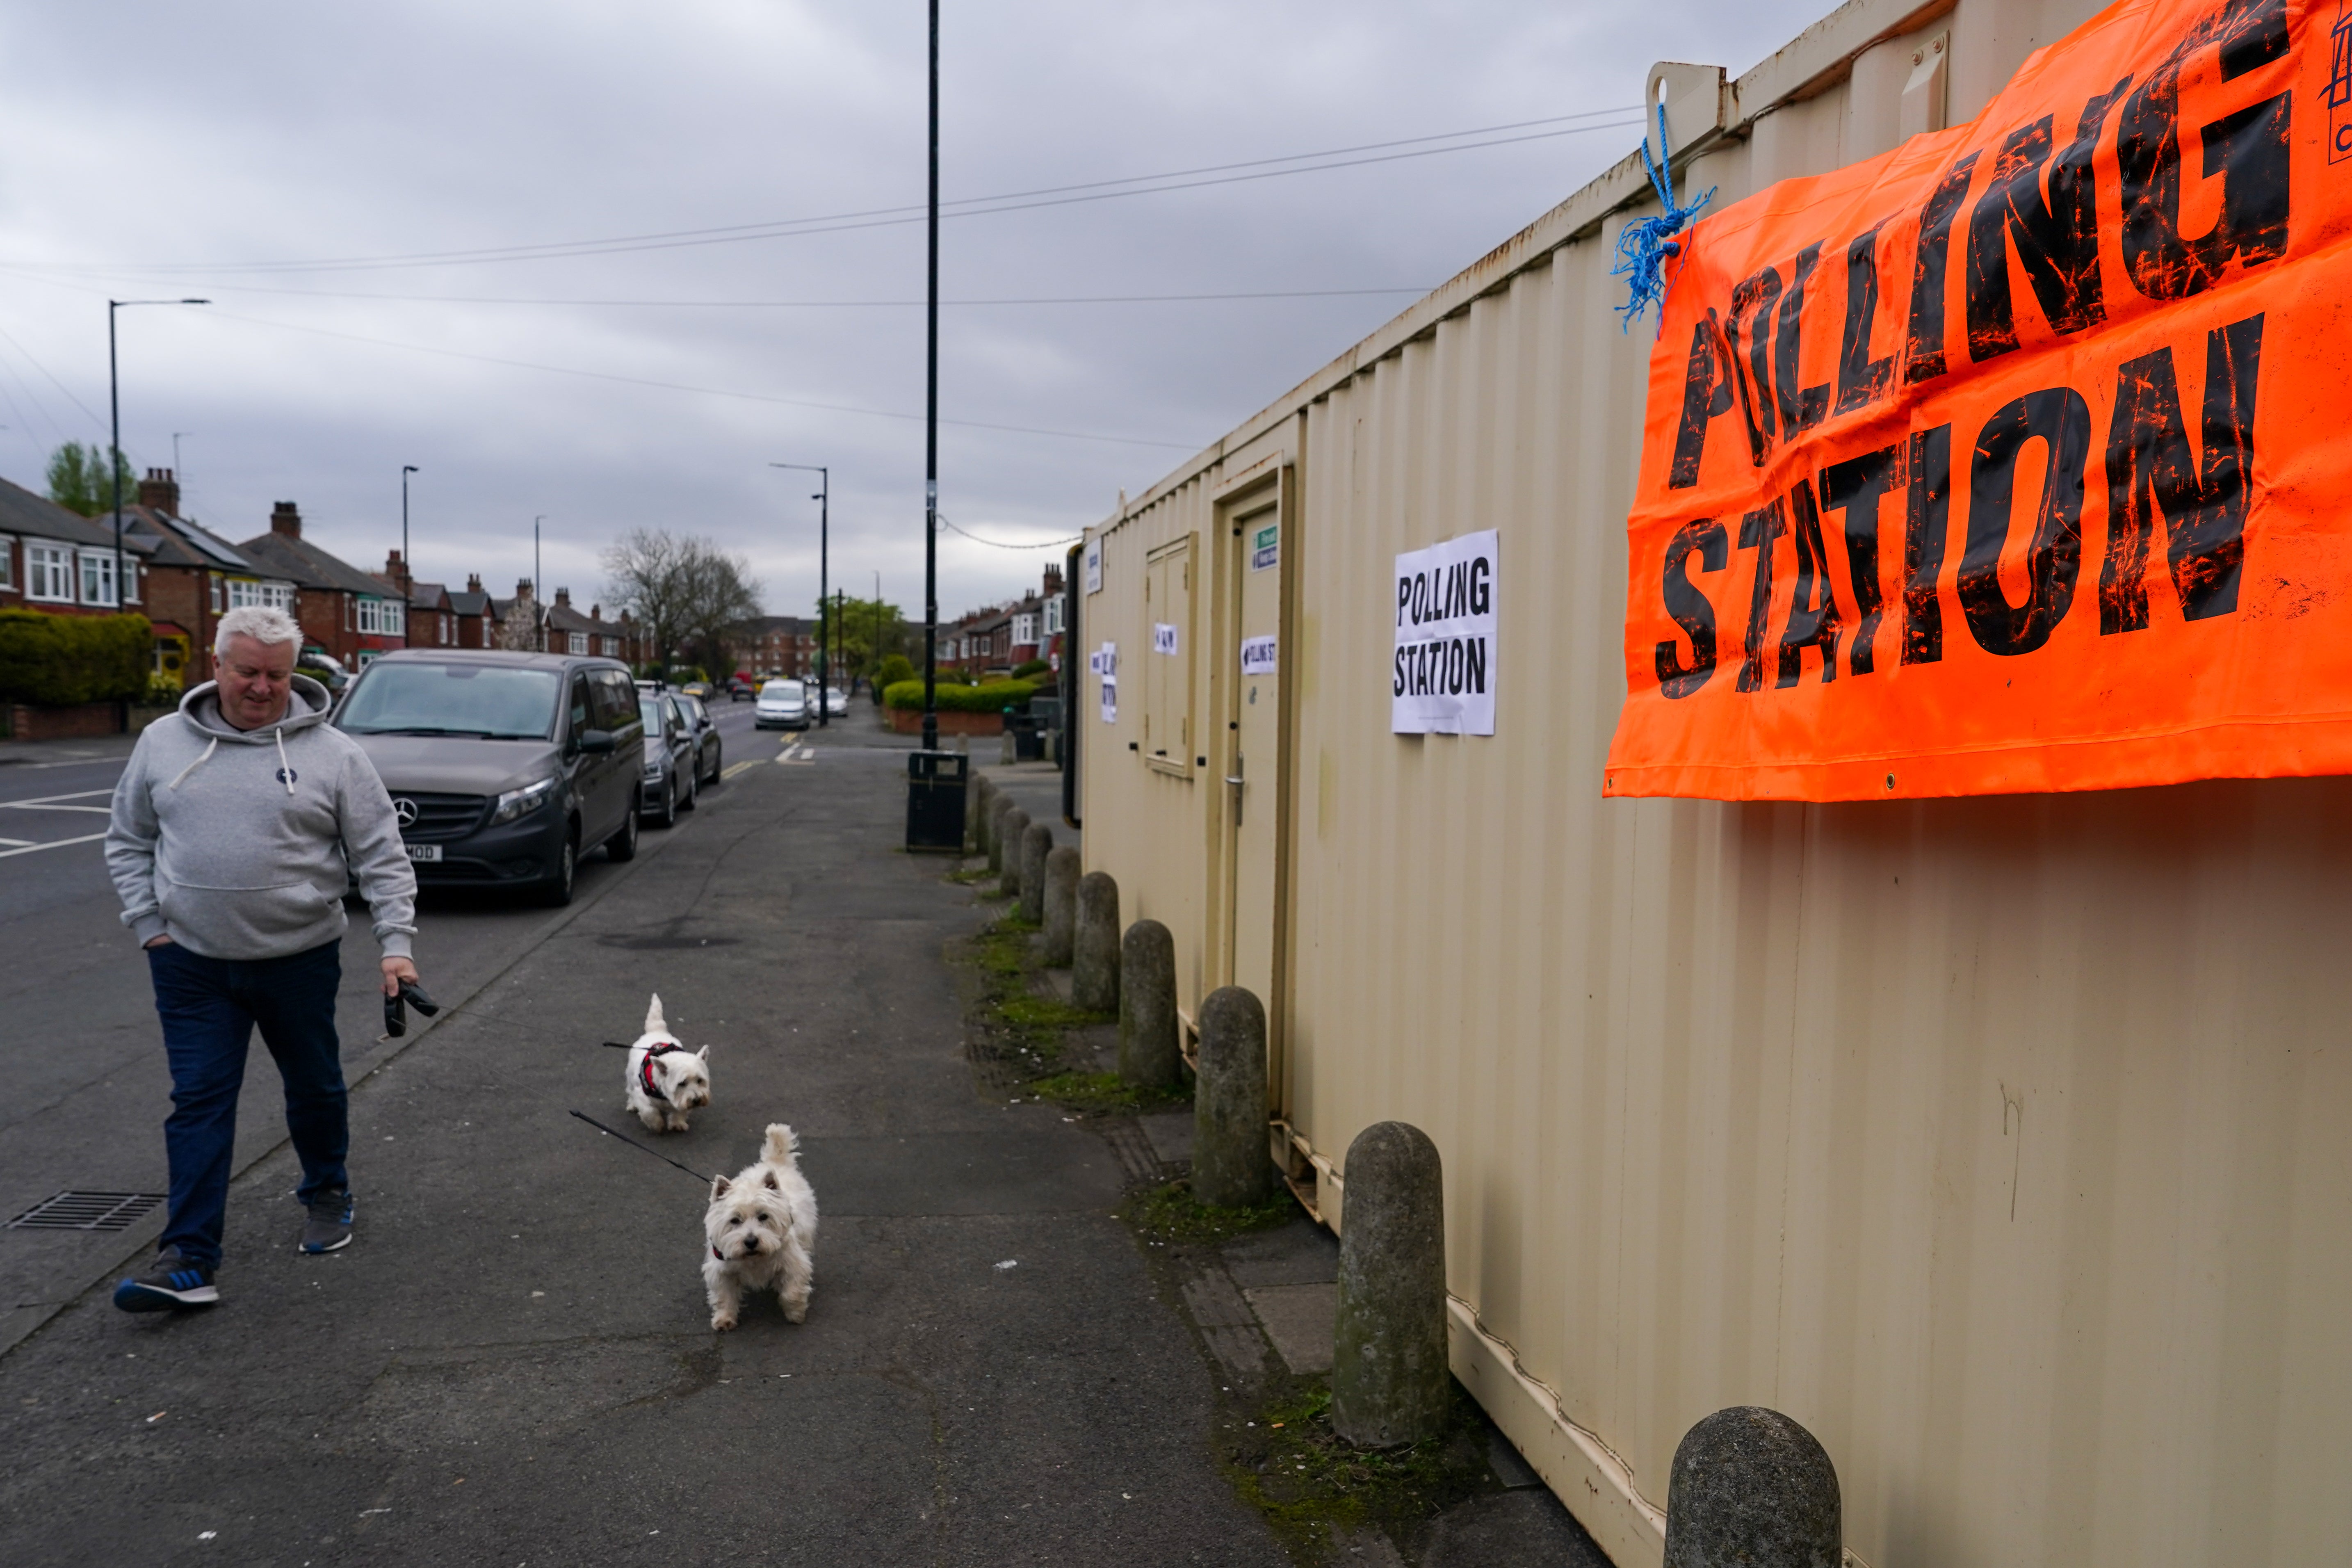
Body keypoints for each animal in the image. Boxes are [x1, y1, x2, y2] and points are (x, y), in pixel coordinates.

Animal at [621, 1001, 710, 1133]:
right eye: (682, 1083)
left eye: (700, 1080)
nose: (697, 1100)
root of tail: (656, 1031)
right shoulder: (642, 1096)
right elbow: (649, 1111)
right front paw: (657, 1125)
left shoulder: (681, 1100)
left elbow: (680, 1110)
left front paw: (677, 1124)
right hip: (631, 1076)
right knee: (630, 1090)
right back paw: (632, 1105)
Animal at [696, 1123, 818, 1335]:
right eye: (735, 1220)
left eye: (764, 1216)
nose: (751, 1242)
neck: (754, 1258)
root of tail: (775, 1162)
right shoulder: (722, 1271)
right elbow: (724, 1297)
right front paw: (724, 1320)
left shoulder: (794, 1264)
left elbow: (792, 1292)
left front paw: (796, 1314)